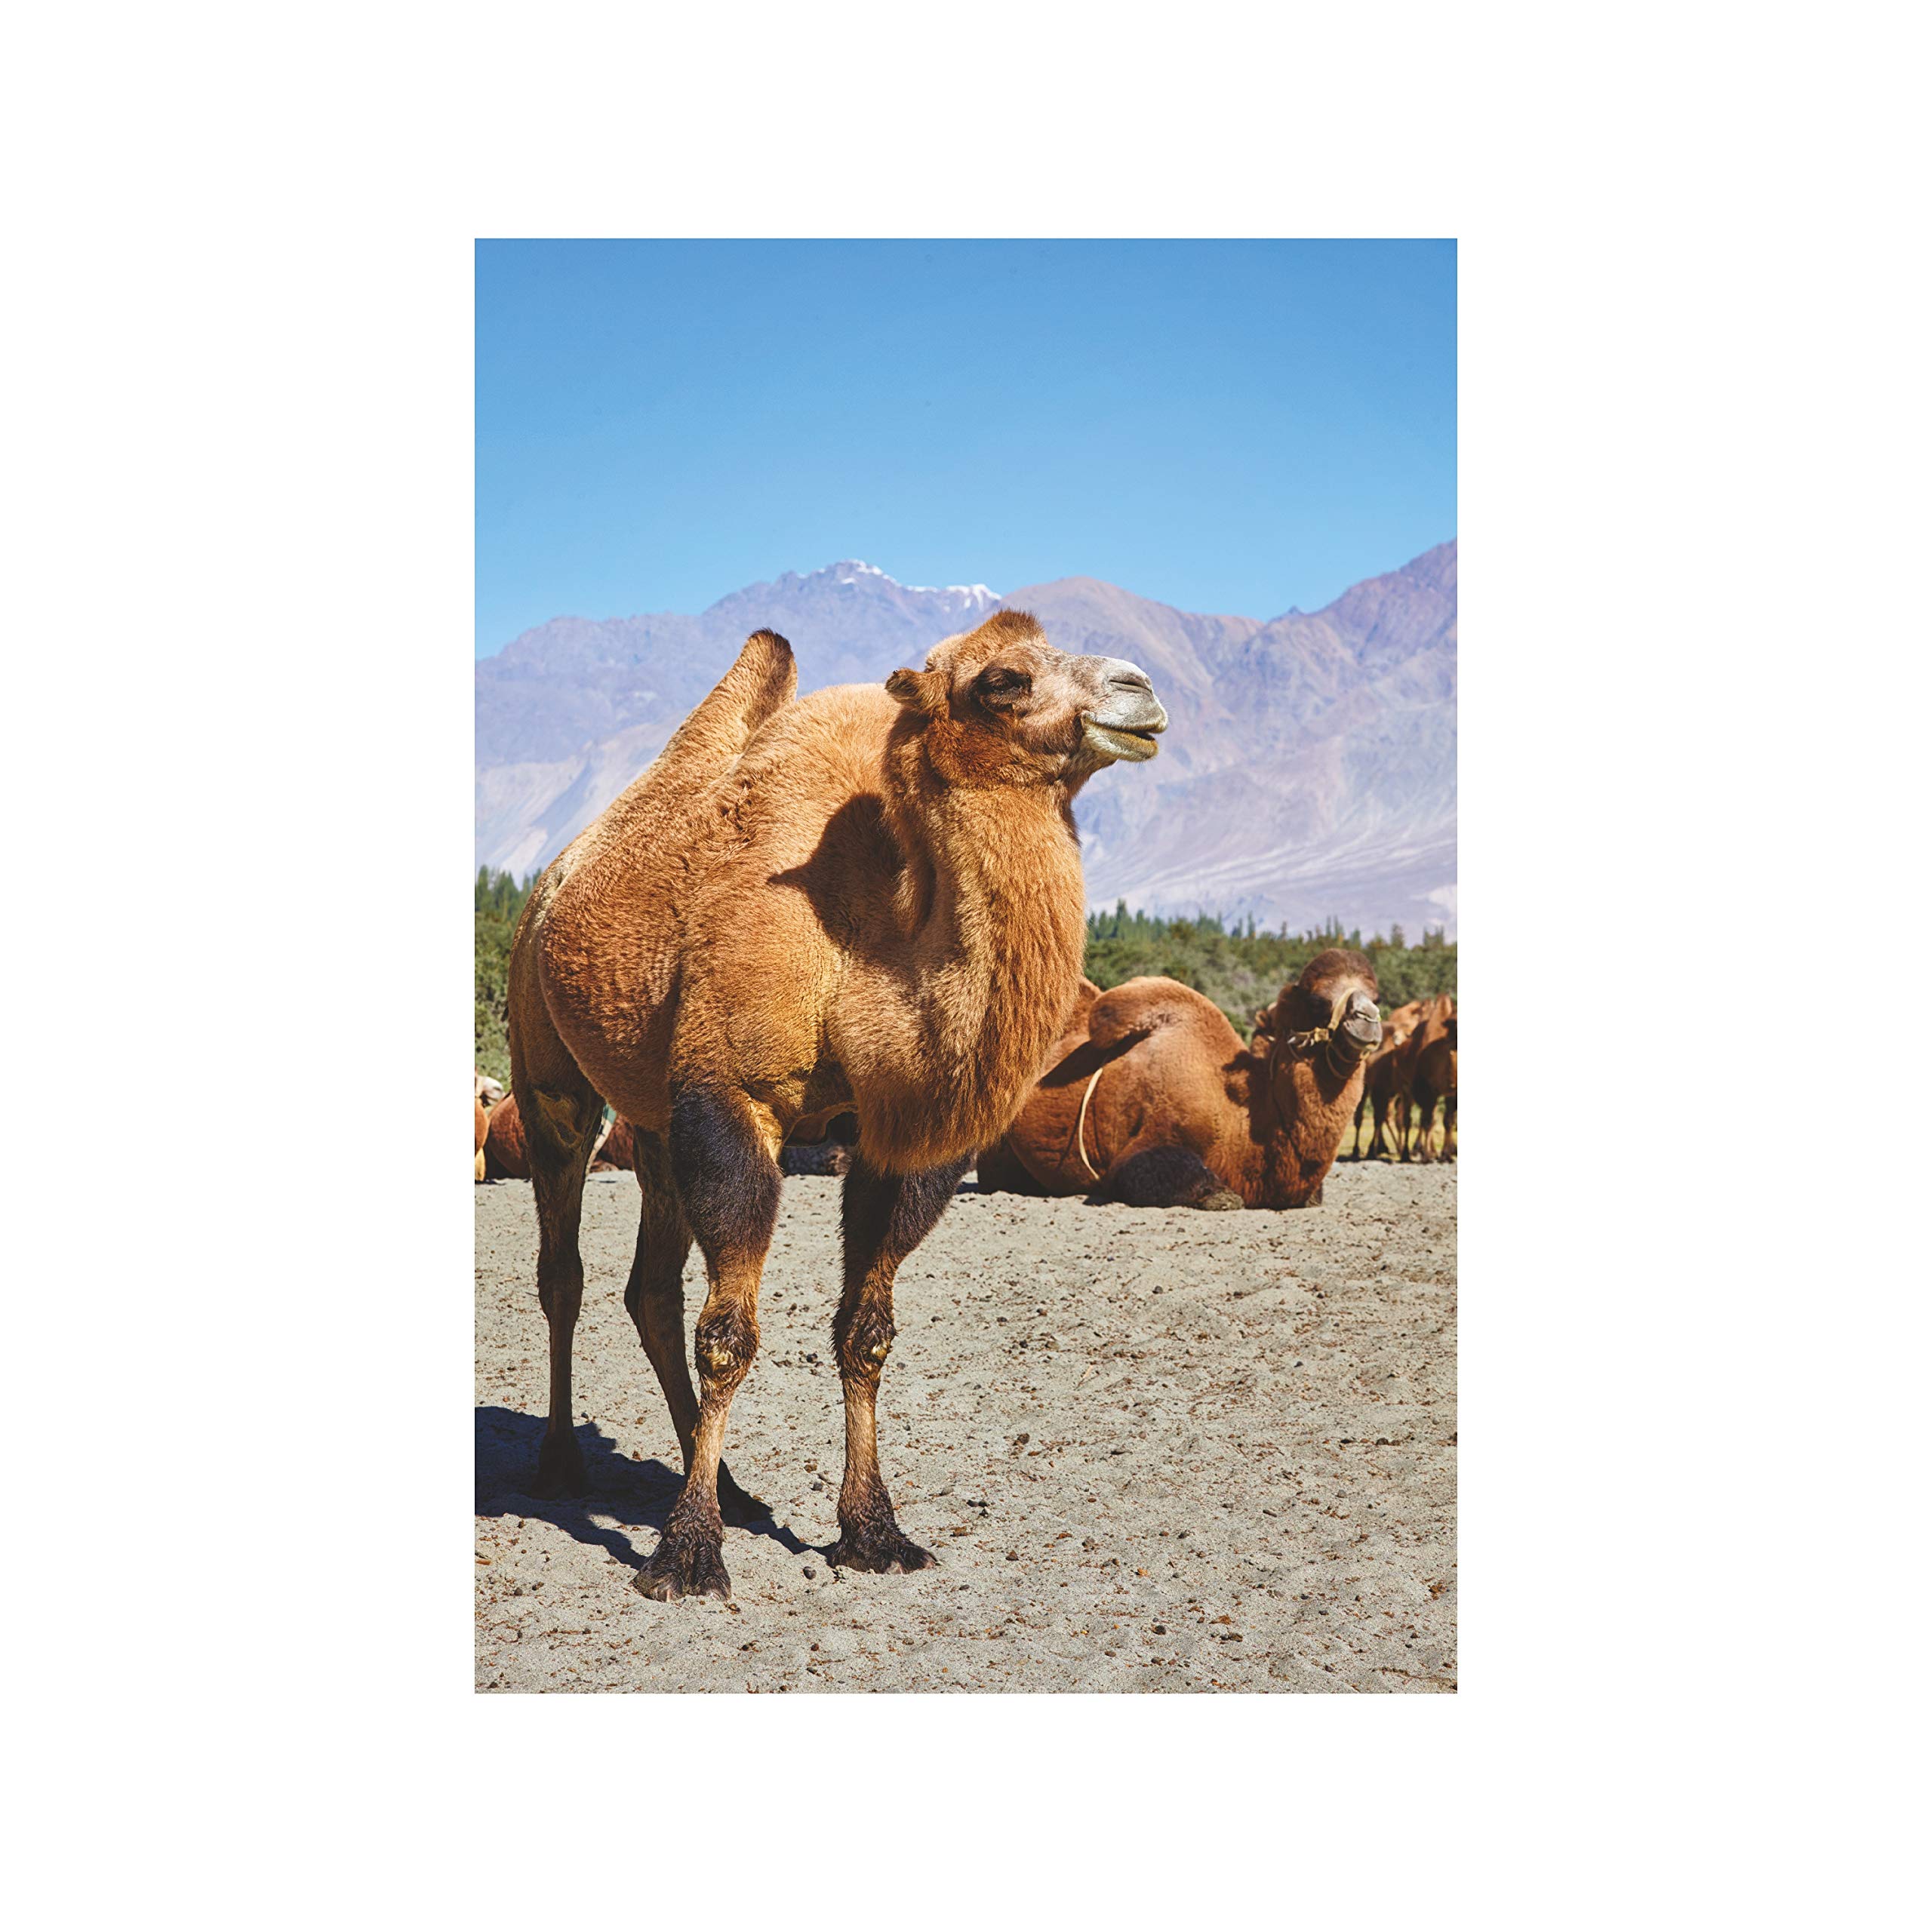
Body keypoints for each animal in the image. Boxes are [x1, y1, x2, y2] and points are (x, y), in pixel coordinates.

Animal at [506, 613, 1166, 1600]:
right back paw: (560, 1464)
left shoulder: (895, 1136)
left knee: (649, 1287)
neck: (868, 941)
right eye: (1002, 680)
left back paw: (731, 1486)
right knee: (565, 1272)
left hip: (654, 1116)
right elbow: (729, 1336)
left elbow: (866, 1332)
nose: (1141, 690)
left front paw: (873, 1530)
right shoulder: (732, 1100)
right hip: (549, 1074)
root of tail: (553, 878)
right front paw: (685, 1555)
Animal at [976, 950, 1382, 1210]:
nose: (1368, 1018)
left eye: (1376, 996)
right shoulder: (1156, 1133)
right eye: (1316, 1001)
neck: (1246, 1120)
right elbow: (1160, 1174)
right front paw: (1219, 1195)